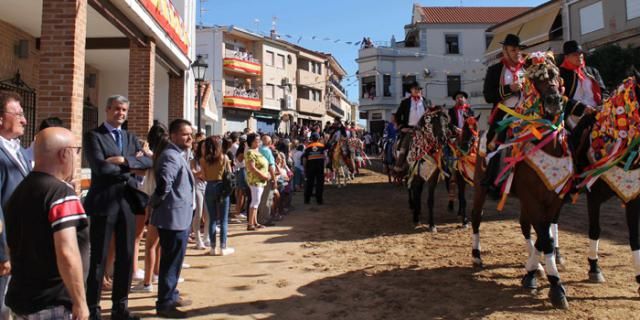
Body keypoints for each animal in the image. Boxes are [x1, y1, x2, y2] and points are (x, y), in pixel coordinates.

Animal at [468, 51, 568, 308]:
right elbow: (545, 237)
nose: (554, 100)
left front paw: (534, 271)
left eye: (556, 75)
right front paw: (555, 286)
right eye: (538, 79)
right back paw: (477, 256)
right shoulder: (532, 198)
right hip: (480, 189)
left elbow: (545, 236)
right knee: (476, 218)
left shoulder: (554, 199)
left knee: (525, 226)